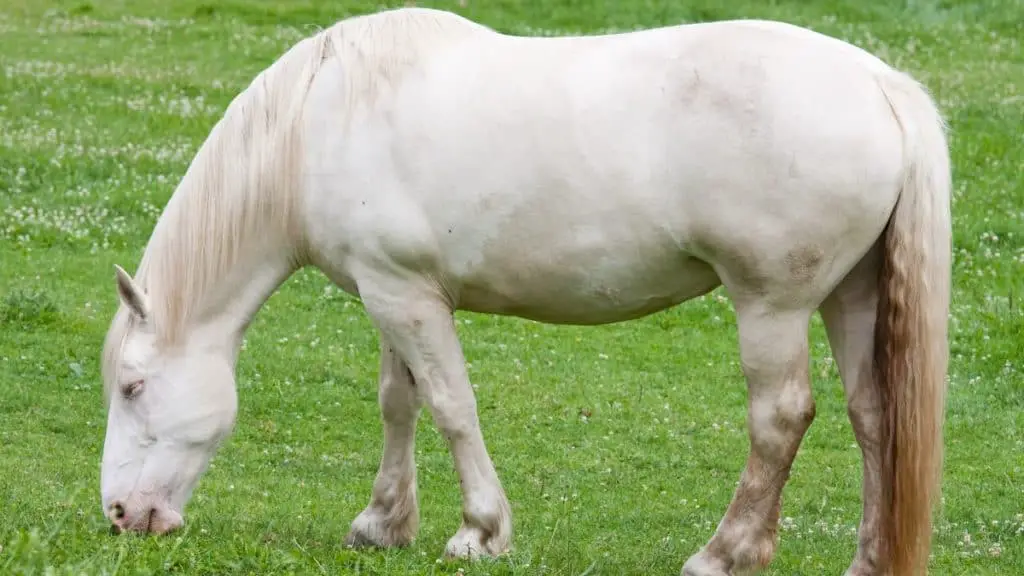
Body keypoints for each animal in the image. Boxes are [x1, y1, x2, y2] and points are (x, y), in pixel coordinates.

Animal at [99, 5, 946, 573]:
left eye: (134, 387)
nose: (121, 515)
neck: (320, 121)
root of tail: (881, 85)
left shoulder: (406, 298)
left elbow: (450, 406)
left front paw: (479, 531)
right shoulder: (390, 293)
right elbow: (399, 402)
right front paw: (383, 523)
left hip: (772, 306)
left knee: (780, 419)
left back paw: (723, 552)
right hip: (851, 297)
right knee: (874, 416)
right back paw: (866, 560)